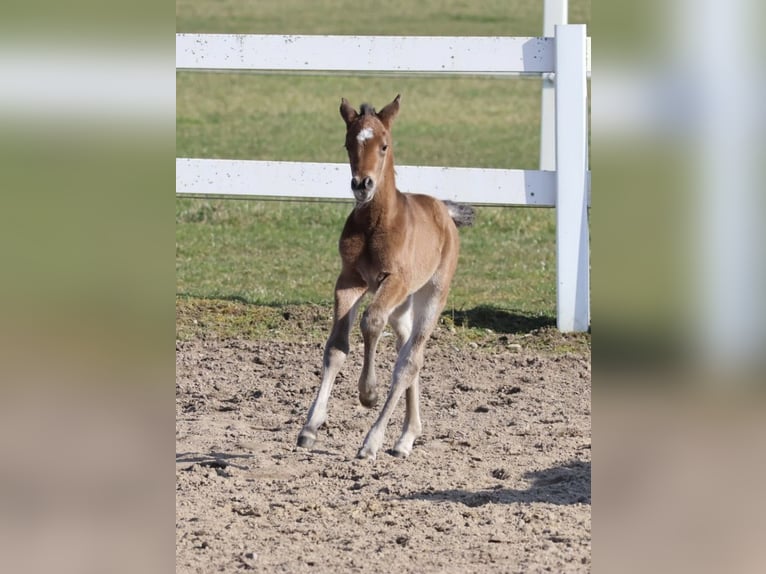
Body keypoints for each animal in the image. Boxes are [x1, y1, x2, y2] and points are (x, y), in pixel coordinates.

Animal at [297, 94, 475, 460]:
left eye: (384, 145)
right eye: (348, 143)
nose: (362, 184)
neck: (376, 224)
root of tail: (445, 211)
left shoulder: (394, 281)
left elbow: (371, 322)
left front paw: (368, 393)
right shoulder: (350, 280)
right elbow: (336, 347)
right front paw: (309, 428)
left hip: (431, 293)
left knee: (410, 360)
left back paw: (373, 442)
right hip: (402, 306)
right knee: (405, 350)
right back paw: (406, 437)